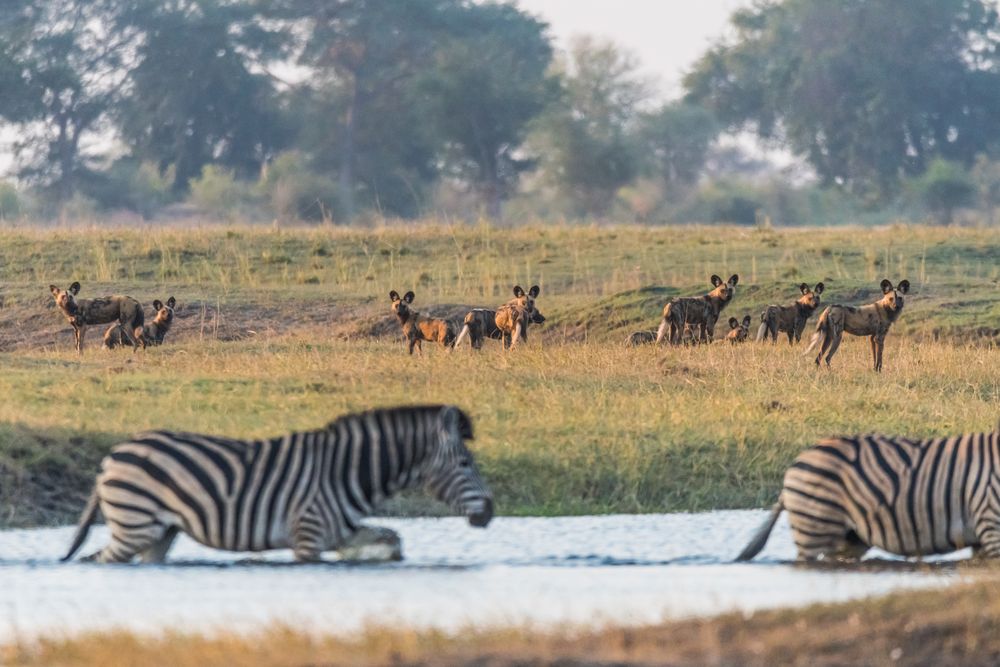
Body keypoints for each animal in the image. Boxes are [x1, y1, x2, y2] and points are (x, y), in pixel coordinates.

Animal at [61, 404, 492, 568]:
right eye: (466, 464)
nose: (489, 512)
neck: (345, 472)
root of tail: (113, 455)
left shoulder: (338, 531)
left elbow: (392, 539)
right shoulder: (308, 535)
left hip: (158, 532)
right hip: (135, 524)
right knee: (100, 559)